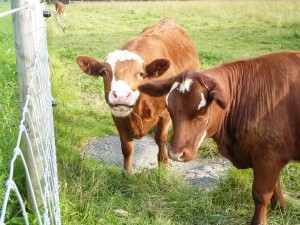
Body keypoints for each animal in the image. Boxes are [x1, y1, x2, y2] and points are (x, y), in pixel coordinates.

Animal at [76, 18, 200, 173]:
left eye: (141, 74)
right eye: (104, 72)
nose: (121, 95)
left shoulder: (165, 113)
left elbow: (161, 139)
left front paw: (163, 164)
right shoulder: (117, 116)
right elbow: (127, 146)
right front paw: (127, 173)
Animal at [138, 51, 300, 224]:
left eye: (201, 111)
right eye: (170, 109)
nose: (175, 154)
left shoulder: (268, 156)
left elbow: (261, 196)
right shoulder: (269, 156)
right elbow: (275, 186)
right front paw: (280, 209)